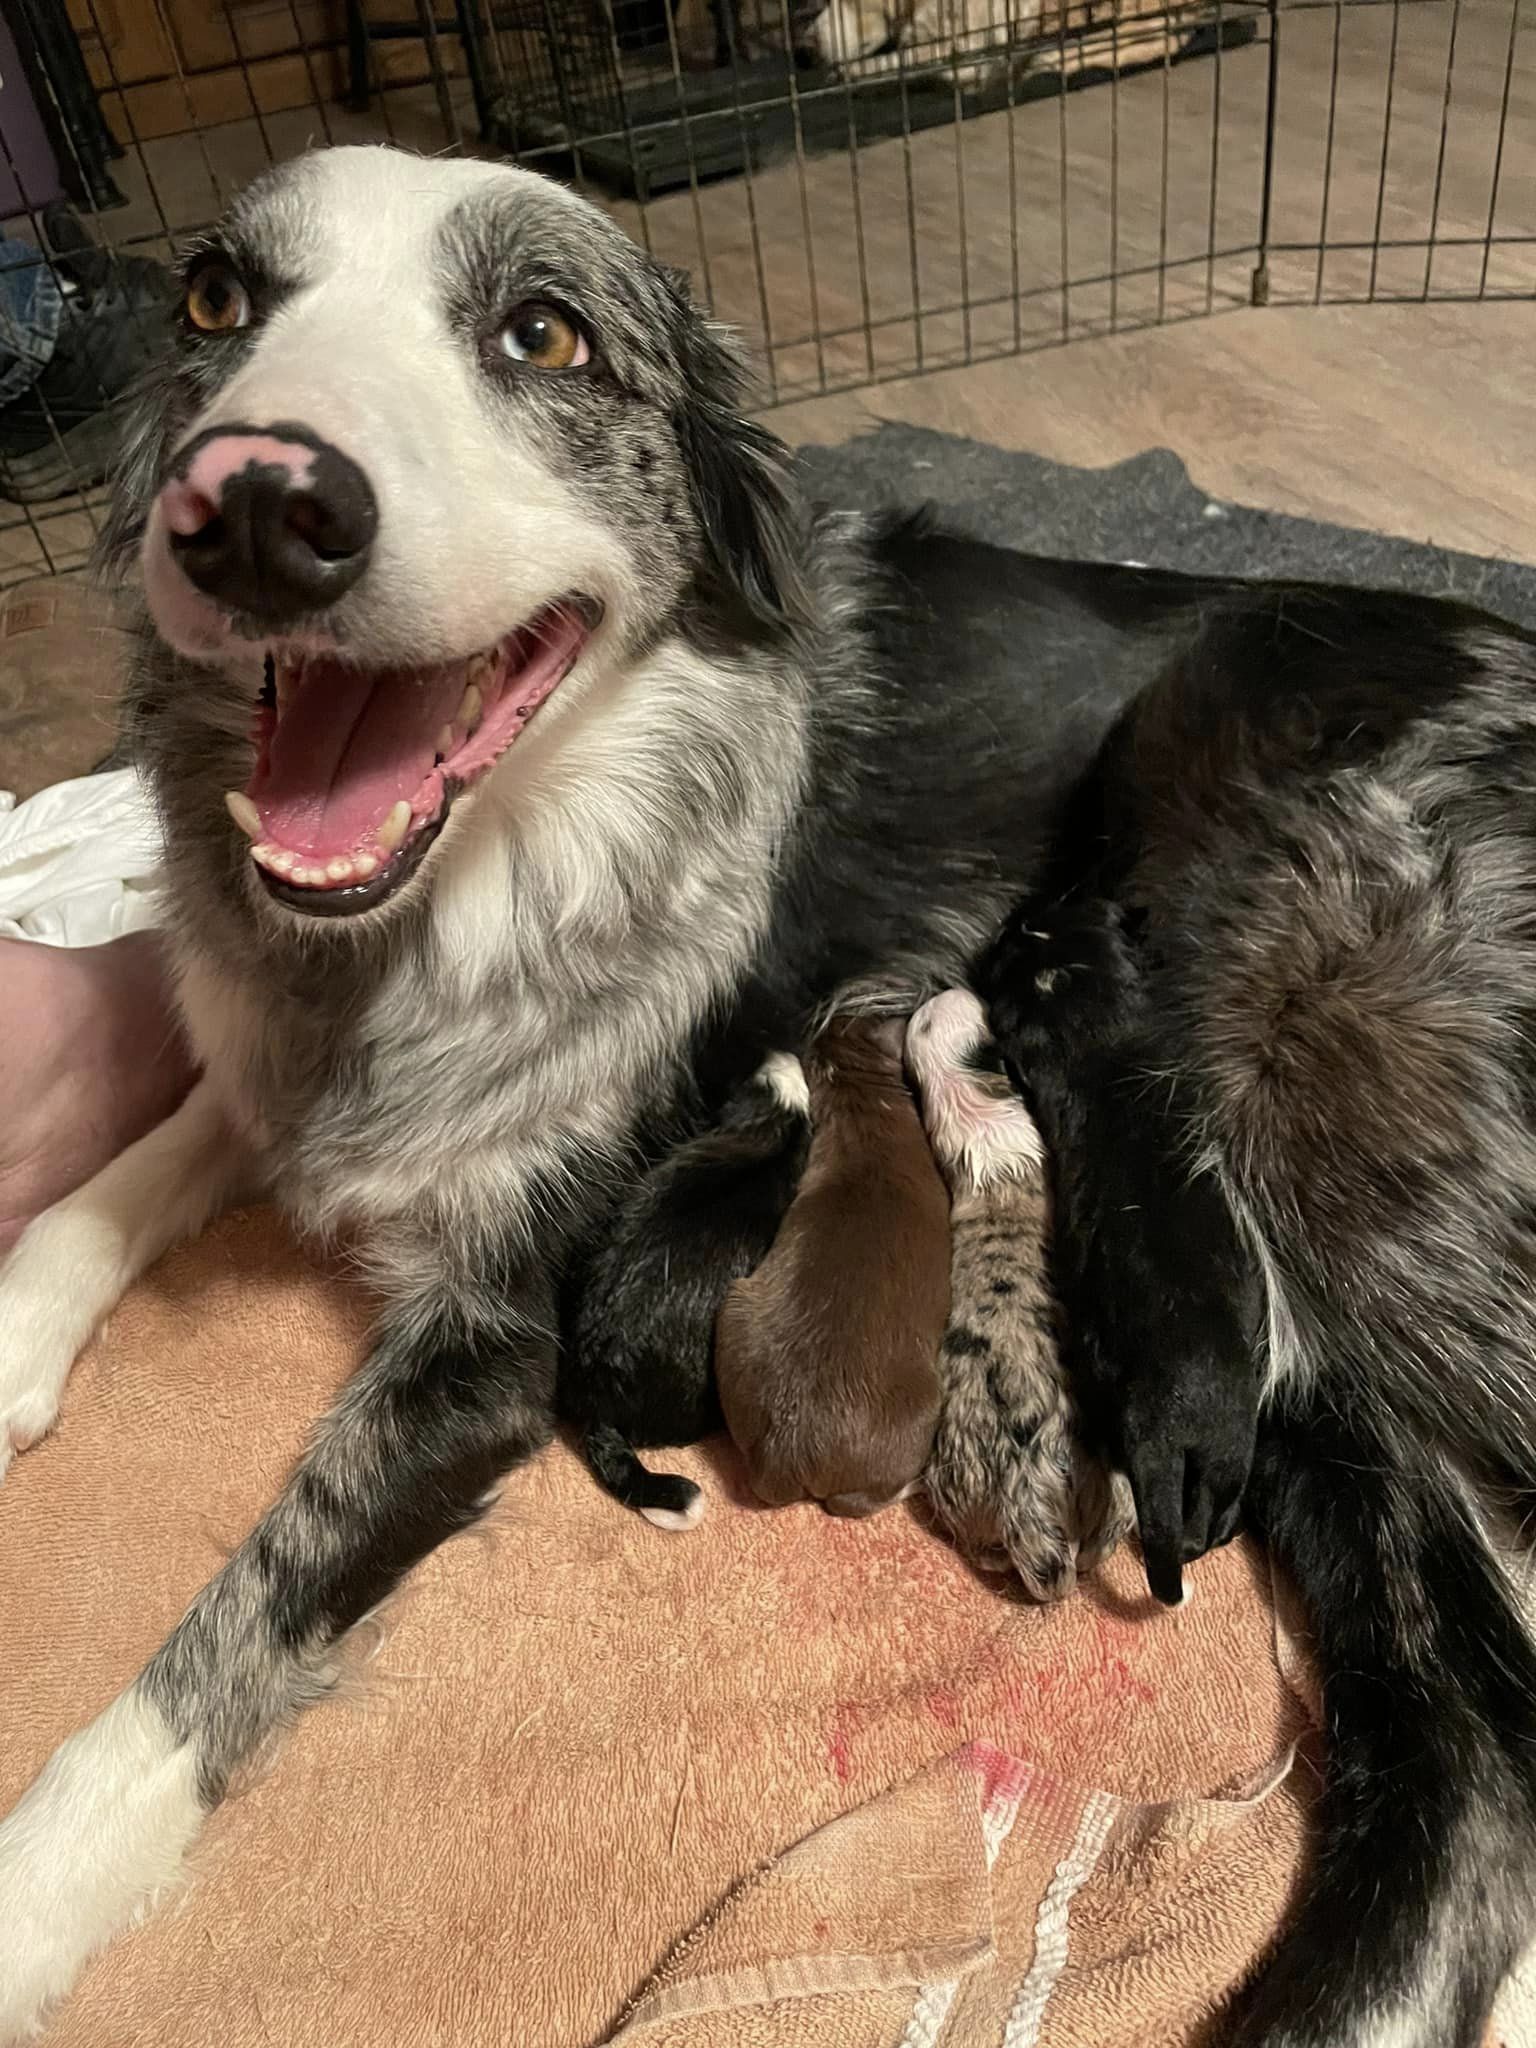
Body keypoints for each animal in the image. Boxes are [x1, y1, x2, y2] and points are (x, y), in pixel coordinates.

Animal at [720, 1015, 950, 1515]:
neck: (858, 1098)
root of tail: (782, 1457)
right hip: (921, 1413)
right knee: (859, 1501)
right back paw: (914, 1485)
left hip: (734, 1305)